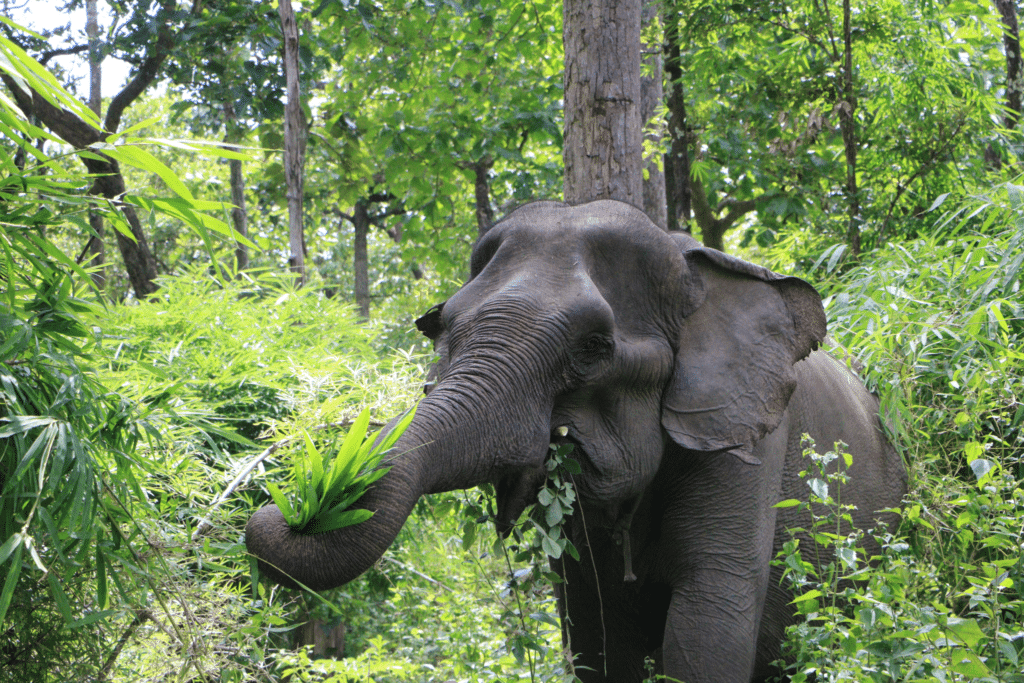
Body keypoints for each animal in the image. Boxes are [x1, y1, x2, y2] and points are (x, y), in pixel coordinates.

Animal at [245, 200, 907, 683]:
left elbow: (709, 622)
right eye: (440, 327)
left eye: (592, 349)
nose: (295, 507)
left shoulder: (743, 442)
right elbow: (594, 632)